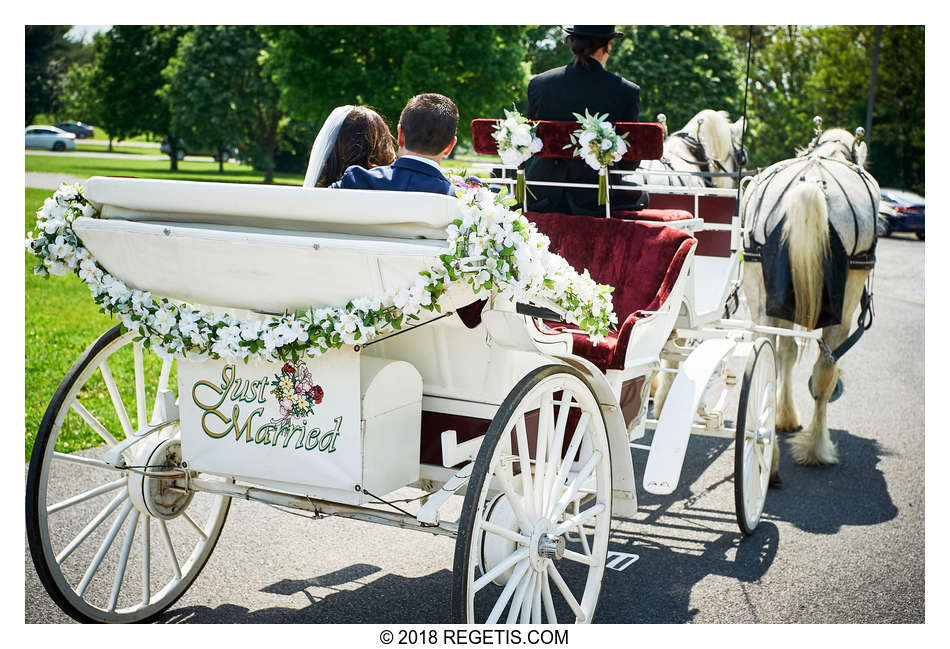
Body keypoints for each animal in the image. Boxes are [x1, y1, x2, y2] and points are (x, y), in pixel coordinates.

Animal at [740, 126, 880, 468]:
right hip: (844, 308)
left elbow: (786, 354)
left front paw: (784, 416)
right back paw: (817, 447)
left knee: (766, 359)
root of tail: (814, 183)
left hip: (761, 296)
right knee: (825, 373)